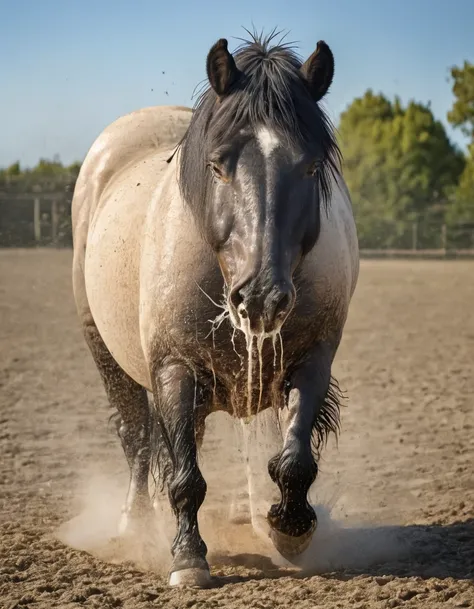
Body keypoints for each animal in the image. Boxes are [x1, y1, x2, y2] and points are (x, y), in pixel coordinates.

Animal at [71, 30, 360, 588]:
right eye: (217, 165)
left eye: (312, 166)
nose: (262, 296)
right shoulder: (173, 367)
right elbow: (185, 475)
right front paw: (188, 559)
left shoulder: (313, 357)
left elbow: (294, 458)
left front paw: (290, 529)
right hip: (104, 348)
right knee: (138, 436)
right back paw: (135, 524)